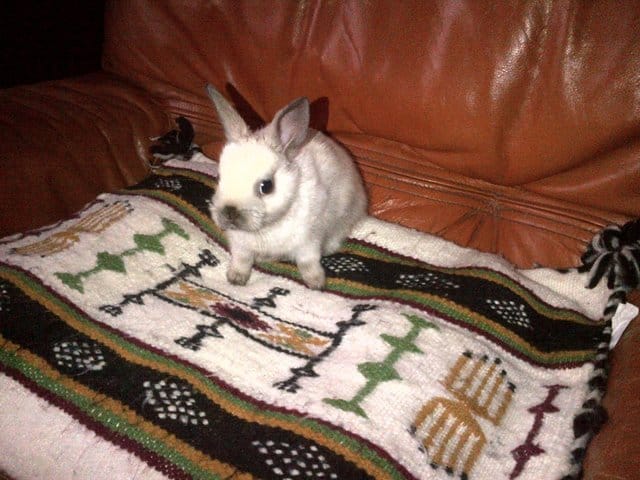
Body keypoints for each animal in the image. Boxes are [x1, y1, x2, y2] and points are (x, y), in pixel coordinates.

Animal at [206, 84, 367, 289]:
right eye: (219, 177)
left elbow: (308, 262)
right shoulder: (240, 245)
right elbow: (241, 260)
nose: (228, 213)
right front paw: (235, 279)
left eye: (266, 186)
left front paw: (316, 283)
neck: (268, 227)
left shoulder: (309, 241)